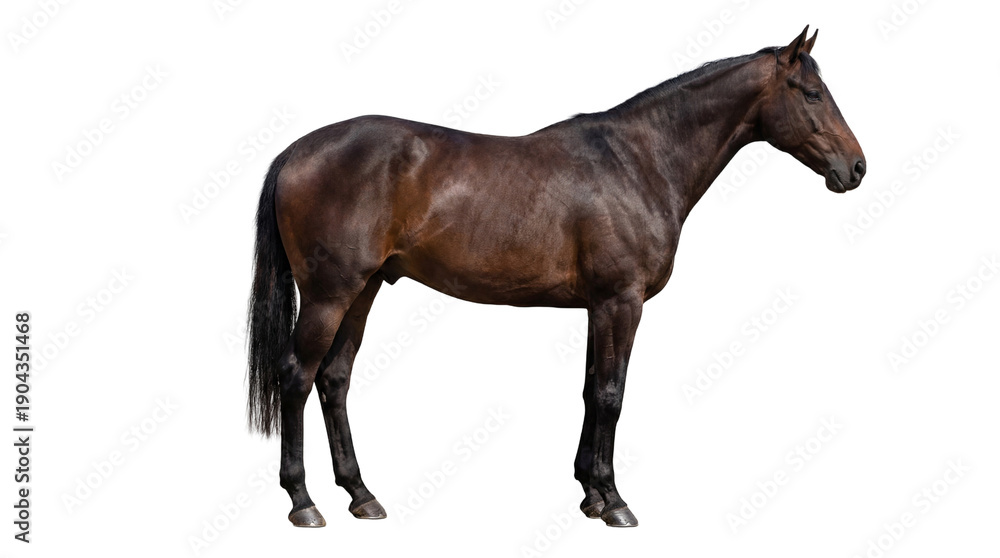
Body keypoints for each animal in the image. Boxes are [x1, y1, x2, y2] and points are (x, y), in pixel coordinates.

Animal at [246, 26, 865, 528]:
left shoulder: (599, 306)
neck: (638, 161)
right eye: (812, 93)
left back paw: (361, 495)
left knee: (334, 379)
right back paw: (303, 503)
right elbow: (612, 394)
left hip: (364, 289)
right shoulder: (621, 302)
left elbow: (592, 390)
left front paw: (590, 493)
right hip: (329, 294)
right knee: (296, 375)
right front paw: (615, 502)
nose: (856, 168)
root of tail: (297, 149)